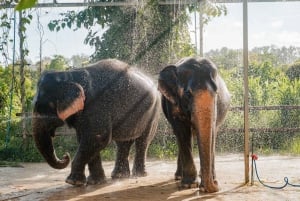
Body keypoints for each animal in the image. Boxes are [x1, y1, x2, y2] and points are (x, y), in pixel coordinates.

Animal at [31, 59, 161, 186]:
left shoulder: (96, 106)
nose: (65, 155)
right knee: (123, 142)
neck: (69, 75)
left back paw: (139, 175)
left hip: (154, 111)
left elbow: (97, 138)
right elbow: (86, 139)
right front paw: (95, 182)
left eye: (42, 107)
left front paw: (73, 182)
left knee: (143, 141)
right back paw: (119, 176)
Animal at [158, 57, 231, 193]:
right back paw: (179, 177)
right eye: (187, 94)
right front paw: (189, 185)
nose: (216, 185)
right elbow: (182, 132)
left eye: (217, 93)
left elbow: (212, 132)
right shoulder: (173, 104)